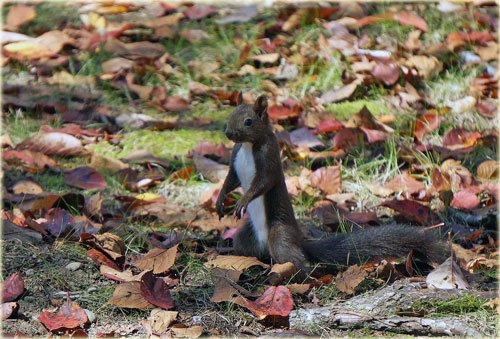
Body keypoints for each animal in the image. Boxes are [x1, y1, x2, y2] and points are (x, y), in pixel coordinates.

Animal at [215, 92, 446, 276]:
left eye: (248, 121)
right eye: (230, 115)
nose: (228, 133)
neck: (247, 146)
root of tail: (299, 240)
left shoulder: (269, 158)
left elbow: (263, 182)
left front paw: (242, 201)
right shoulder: (235, 160)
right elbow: (231, 180)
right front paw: (220, 200)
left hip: (280, 235)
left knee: (293, 258)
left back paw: (303, 275)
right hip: (246, 237)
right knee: (246, 247)